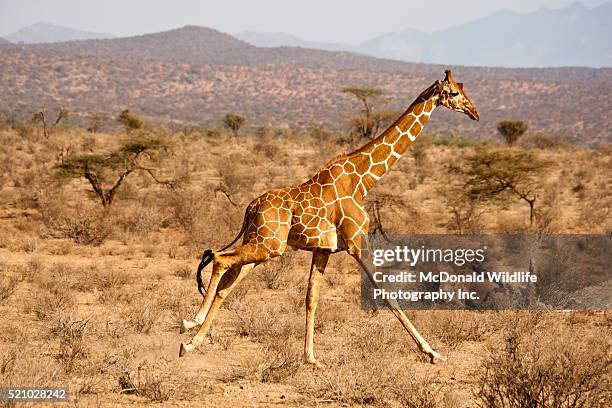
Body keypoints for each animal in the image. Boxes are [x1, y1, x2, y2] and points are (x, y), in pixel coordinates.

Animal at [179, 69, 480, 364]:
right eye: (455, 93)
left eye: (464, 89)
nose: (474, 113)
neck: (363, 180)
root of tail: (250, 208)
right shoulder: (358, 243)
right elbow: (385, 292)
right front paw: (432, 352)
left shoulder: (323, 249)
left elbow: (311, 297)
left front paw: (310, 357)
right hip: (268, 246)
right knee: (219, 259)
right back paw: (190, 325)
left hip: (260, 244)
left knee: (226, 282)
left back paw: (192, 340)